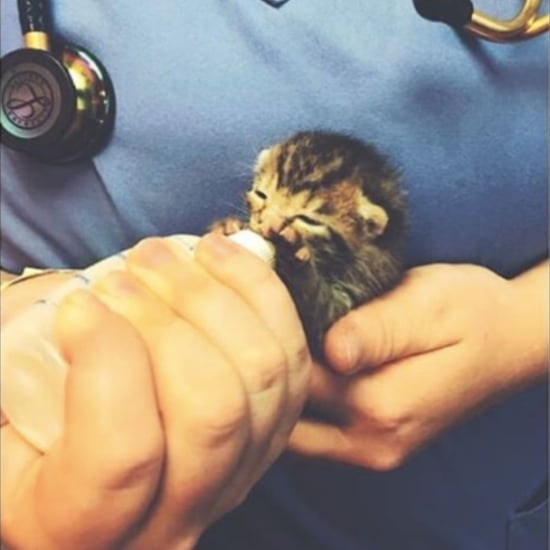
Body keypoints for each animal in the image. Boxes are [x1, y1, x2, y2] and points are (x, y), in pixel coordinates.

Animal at [213, 132, 408, 360]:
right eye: (261, 194)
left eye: (308, 220)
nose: (267, 226)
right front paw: (227, 227)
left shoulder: (365, 282)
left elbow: (318, 309)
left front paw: (293, 255)